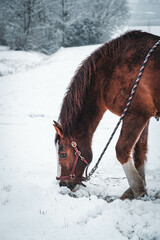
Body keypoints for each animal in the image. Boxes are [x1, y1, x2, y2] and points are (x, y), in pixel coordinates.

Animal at [53, 30, 160, 199]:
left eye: (62, 154)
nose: (62, 184)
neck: (109, 73)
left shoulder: (136, 115)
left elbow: (122, 150)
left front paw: (138, 190)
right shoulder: (145, 116)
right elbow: (140, 152)